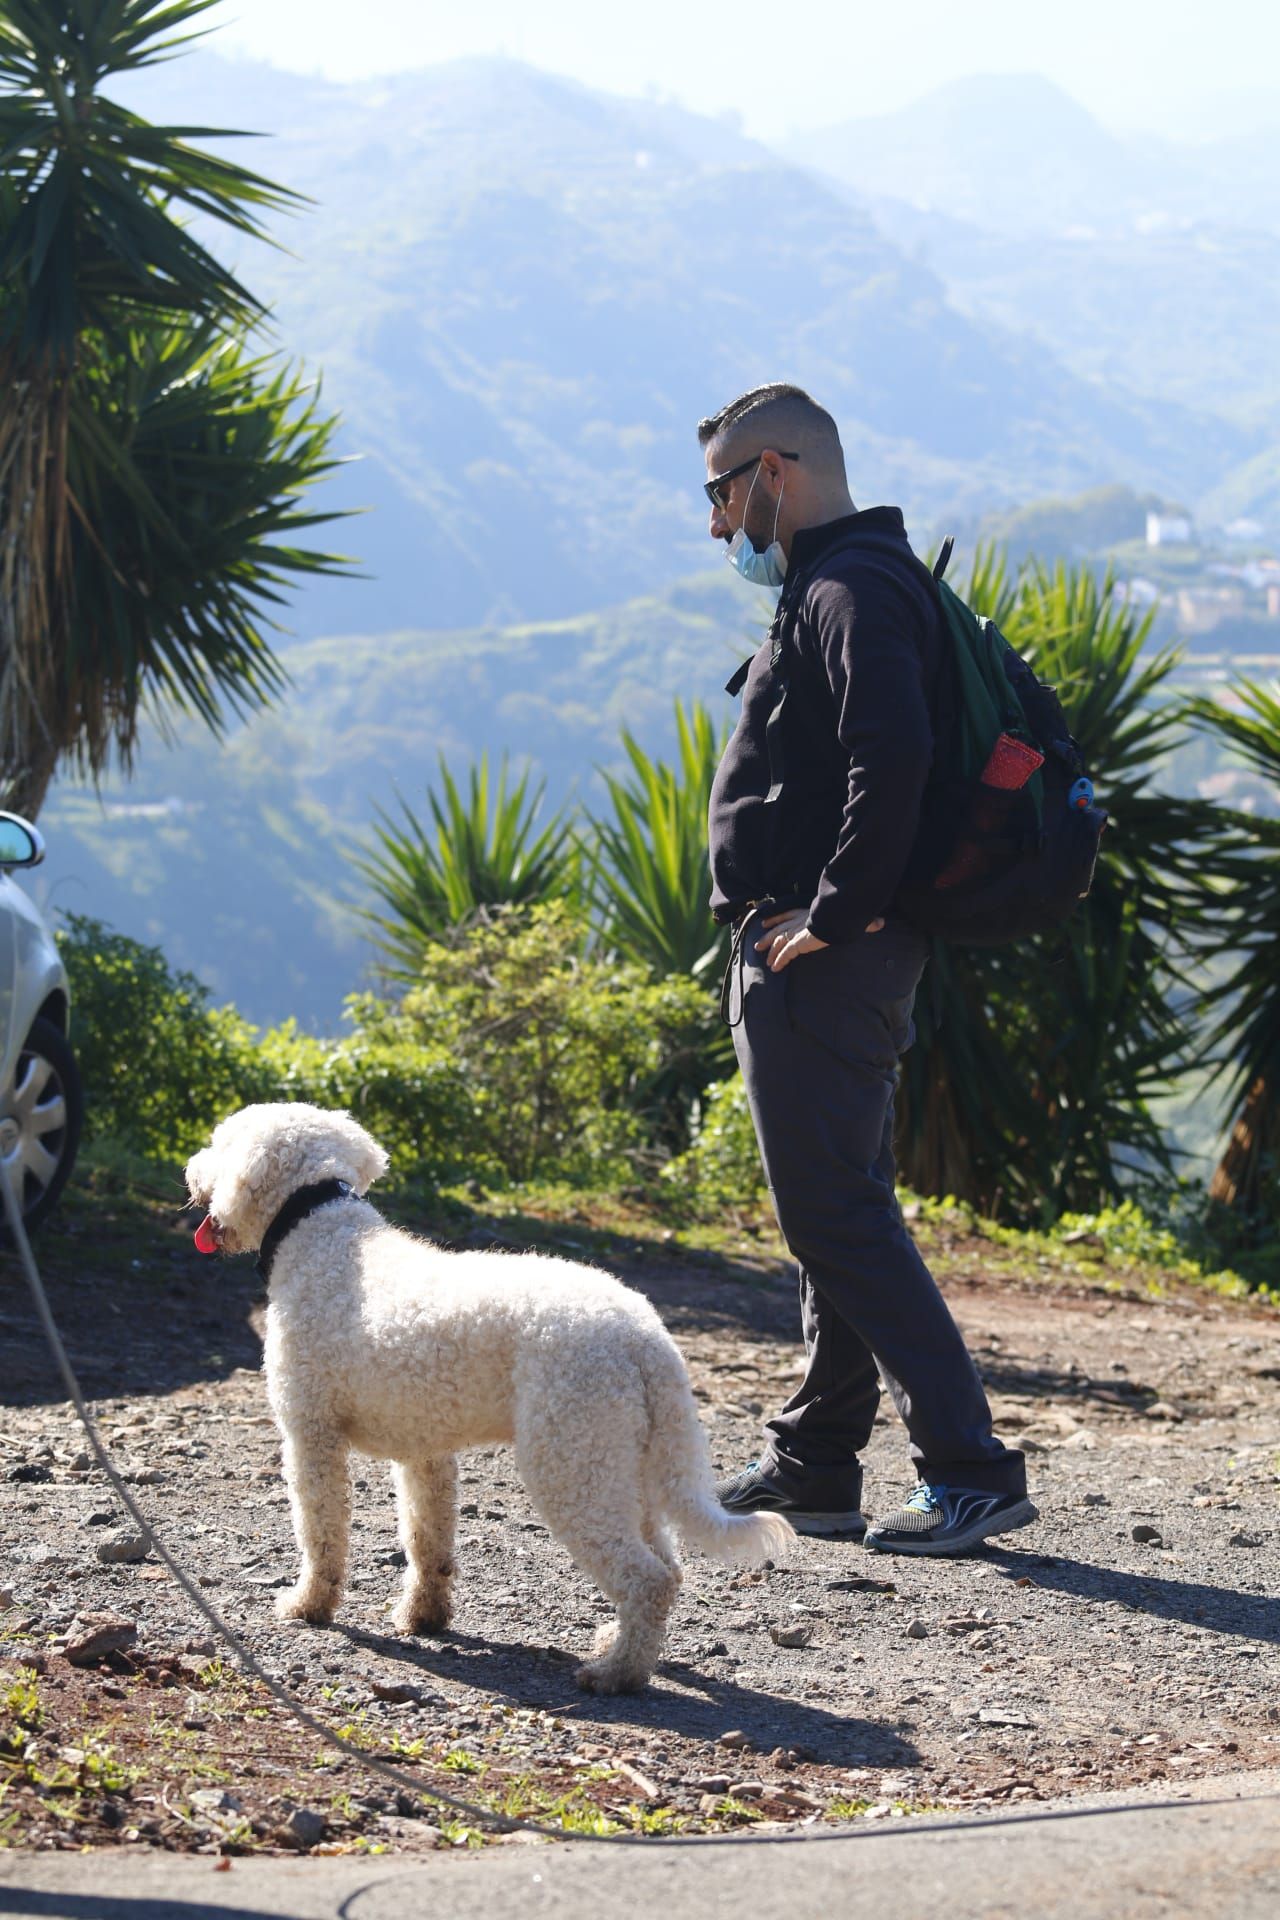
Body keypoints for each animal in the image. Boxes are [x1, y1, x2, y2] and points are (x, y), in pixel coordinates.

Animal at [185, 1105, 790, 1689]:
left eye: (218, 1143)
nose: (189, 1169)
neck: (318, 1228)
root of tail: (646, 1338)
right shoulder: (424, 1453)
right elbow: (427, 1541)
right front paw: (424, 1617)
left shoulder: (311, 1437)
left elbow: (321, 1534)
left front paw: (308, 1605)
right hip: (625, 1459)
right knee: (667, 1564)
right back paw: (616, 1646)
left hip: (571, 1460)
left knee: (648, 1577)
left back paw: (615, 1674)